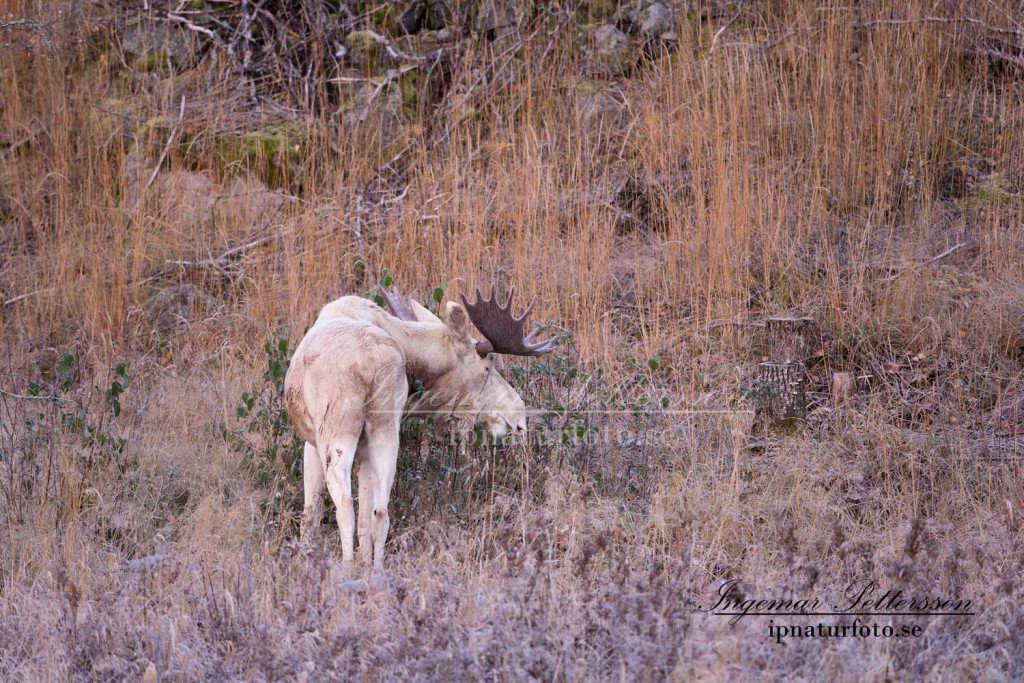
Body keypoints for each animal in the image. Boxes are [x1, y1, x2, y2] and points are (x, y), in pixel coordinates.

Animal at [282, 286, 552, 569]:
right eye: (487, 368)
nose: (519, 416)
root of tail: (373, 365)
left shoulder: (311, 442)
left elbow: (311, 511)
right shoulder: (360, 448)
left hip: (336, 432)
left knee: (345, 504)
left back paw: (346, 568)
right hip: (384, 430)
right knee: (381, 510)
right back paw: (376, 569)